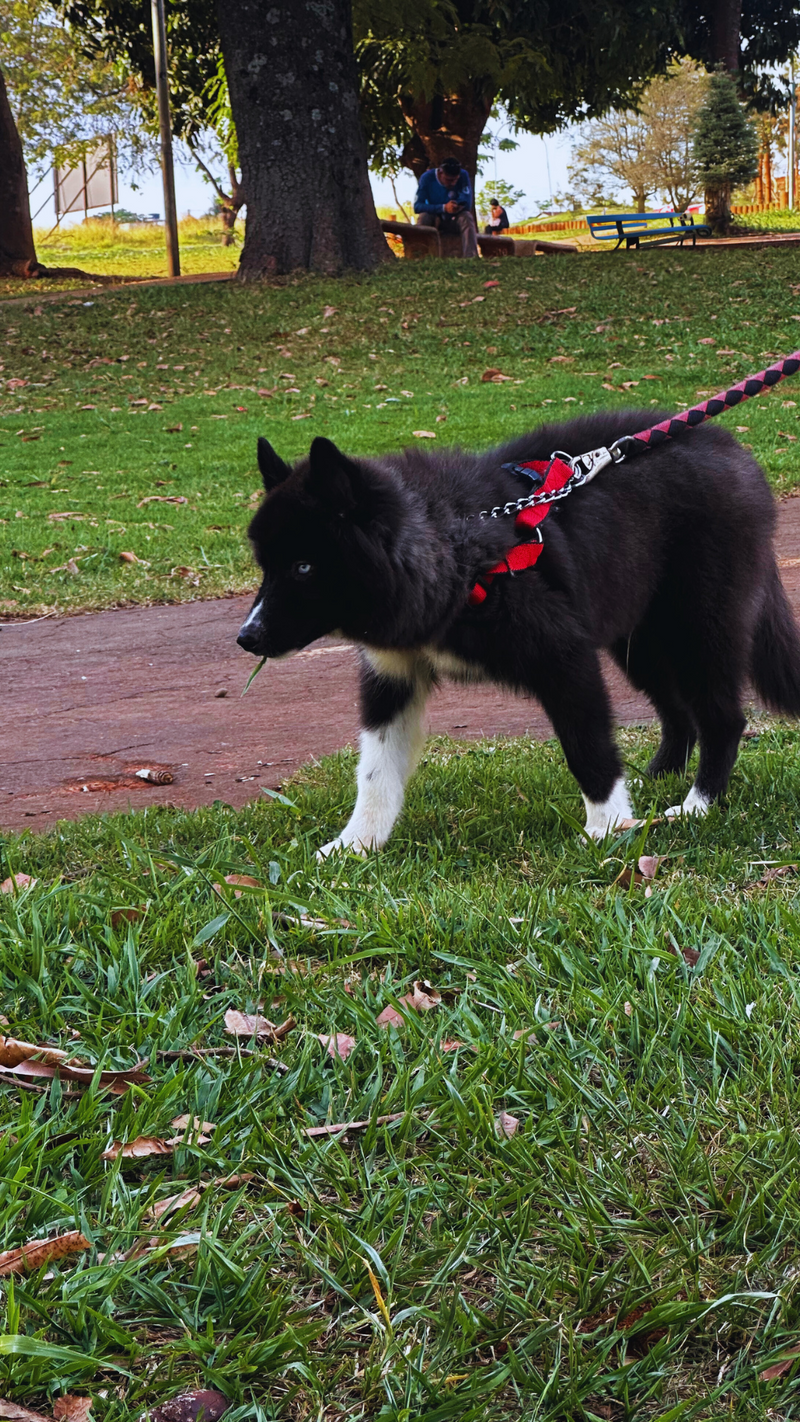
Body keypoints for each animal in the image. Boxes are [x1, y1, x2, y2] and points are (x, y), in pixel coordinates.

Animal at [240, 412, 800, 853]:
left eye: (305, 567)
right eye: (265, 567)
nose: (247, 639)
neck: (453, 543)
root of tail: (732, 449)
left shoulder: (563, 654)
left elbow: (587, 746)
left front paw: (607, 828)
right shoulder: (393, 676)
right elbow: (376, 771)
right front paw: (353, 847)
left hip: (699, 625)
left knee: (723, 718)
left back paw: (697, 805)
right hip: (638, 638)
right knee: (678, 711)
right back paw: (658, 779)